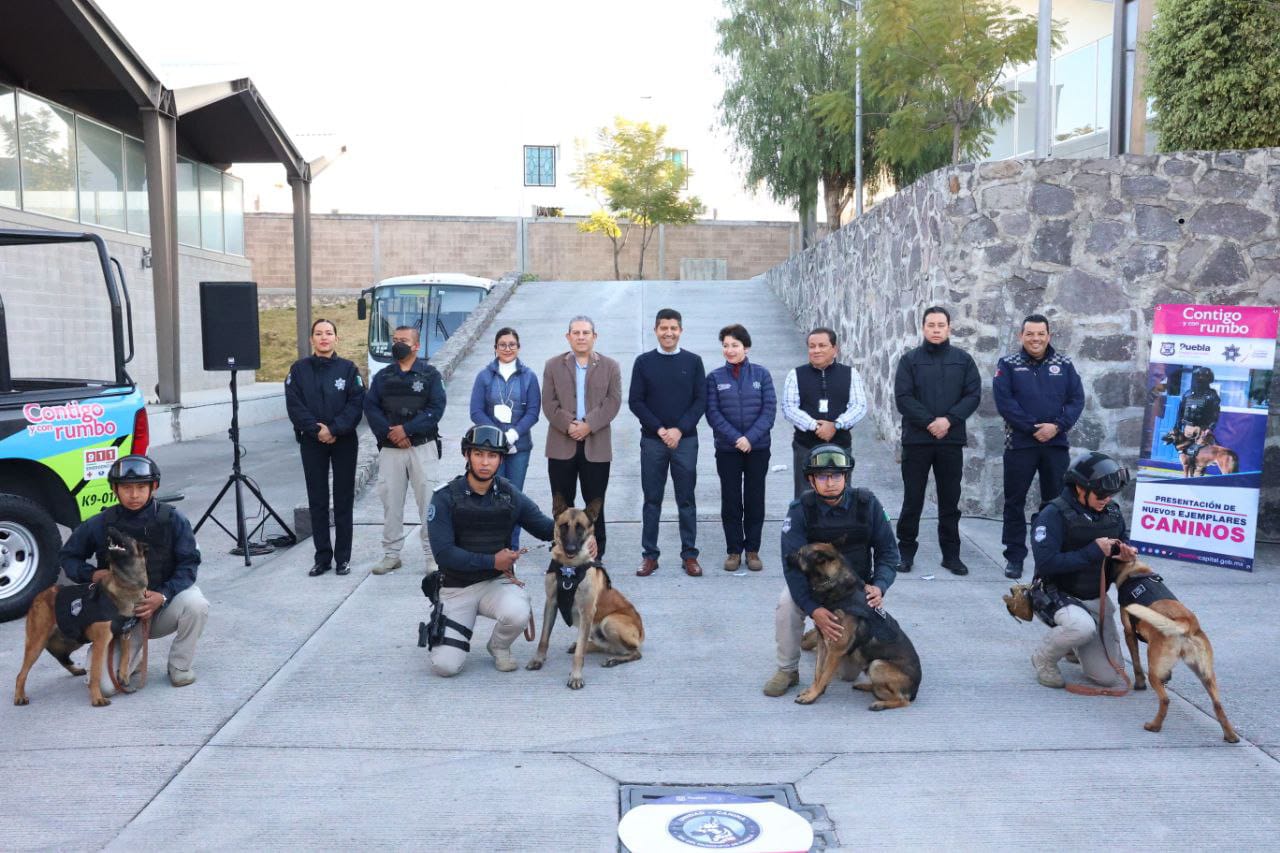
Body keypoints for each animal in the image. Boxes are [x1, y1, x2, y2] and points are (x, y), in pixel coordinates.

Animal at [14, 527, 148, 706]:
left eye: (126, 535)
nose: (110, 528)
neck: (126, 585)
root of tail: (39, 595)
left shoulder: (124, 634)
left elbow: (125, 658)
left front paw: (124, 677)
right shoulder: (101, 642)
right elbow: (96, 673)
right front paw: (97, 698)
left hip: (74, 639)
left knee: (60, 656)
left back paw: (75, 670)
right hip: (38, 642)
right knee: (21, 674)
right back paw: (19, 696)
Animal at [522, 494, 645, 686]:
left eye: (580, 528)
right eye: (564, 526)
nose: (571, 549)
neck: (569, 568)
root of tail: (641, 632)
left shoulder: (586, 611)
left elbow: (580, 654)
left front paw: (576, 676)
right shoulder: (551, 603)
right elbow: (543, 638)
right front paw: (538, 660)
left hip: (608, 622)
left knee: (633, 652)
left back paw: (613, 659)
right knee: (606, 646)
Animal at [783, 540, 926, 706]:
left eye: (800, 553)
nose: (784, 556)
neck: (831, 581)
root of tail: (915, 690)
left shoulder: (835, 651)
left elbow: (824, 674)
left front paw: (813, 695)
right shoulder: (823, 643)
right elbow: (818, 672)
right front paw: (812, 691)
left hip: (877, 664)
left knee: (903, 700)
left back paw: (879, 704)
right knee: (884, 691)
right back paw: (867, 687)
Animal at [1111, 558, 1239, 737]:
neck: (1136, 571)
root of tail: (1187, 622)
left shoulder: (1128, 633)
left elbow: (1136, 663)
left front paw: (1139, 684)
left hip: (1154, 669)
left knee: (1165, 700)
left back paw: (1154, 726)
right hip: (1205, 673)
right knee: (1218, 704)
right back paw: (1230, 736)